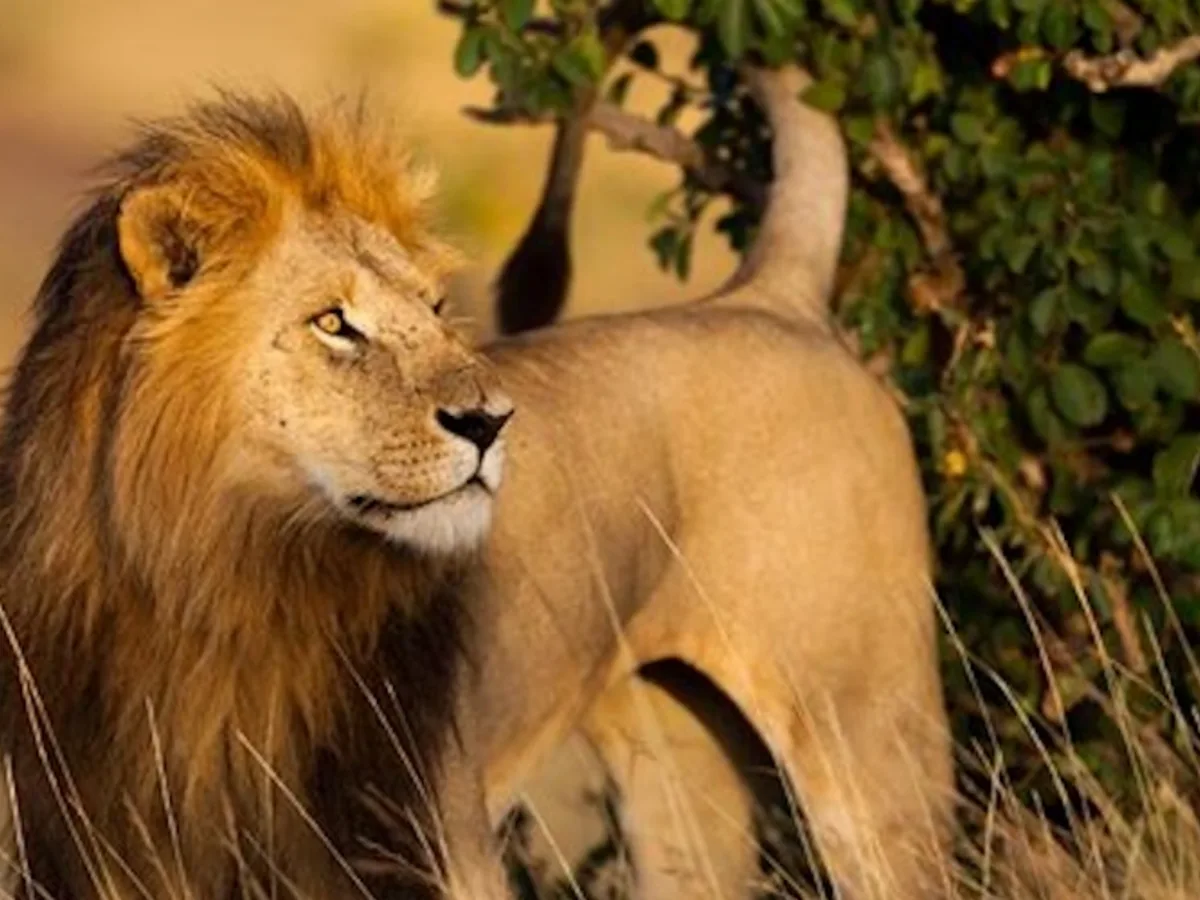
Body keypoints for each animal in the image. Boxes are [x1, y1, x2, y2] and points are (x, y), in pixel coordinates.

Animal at [0, 66, 952, 900]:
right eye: (333, 323)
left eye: (431, 309)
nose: (493, 422)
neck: (216, 578)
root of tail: (774, 294)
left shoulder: (433, 847)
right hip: (680, 768)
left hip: (868, 734)